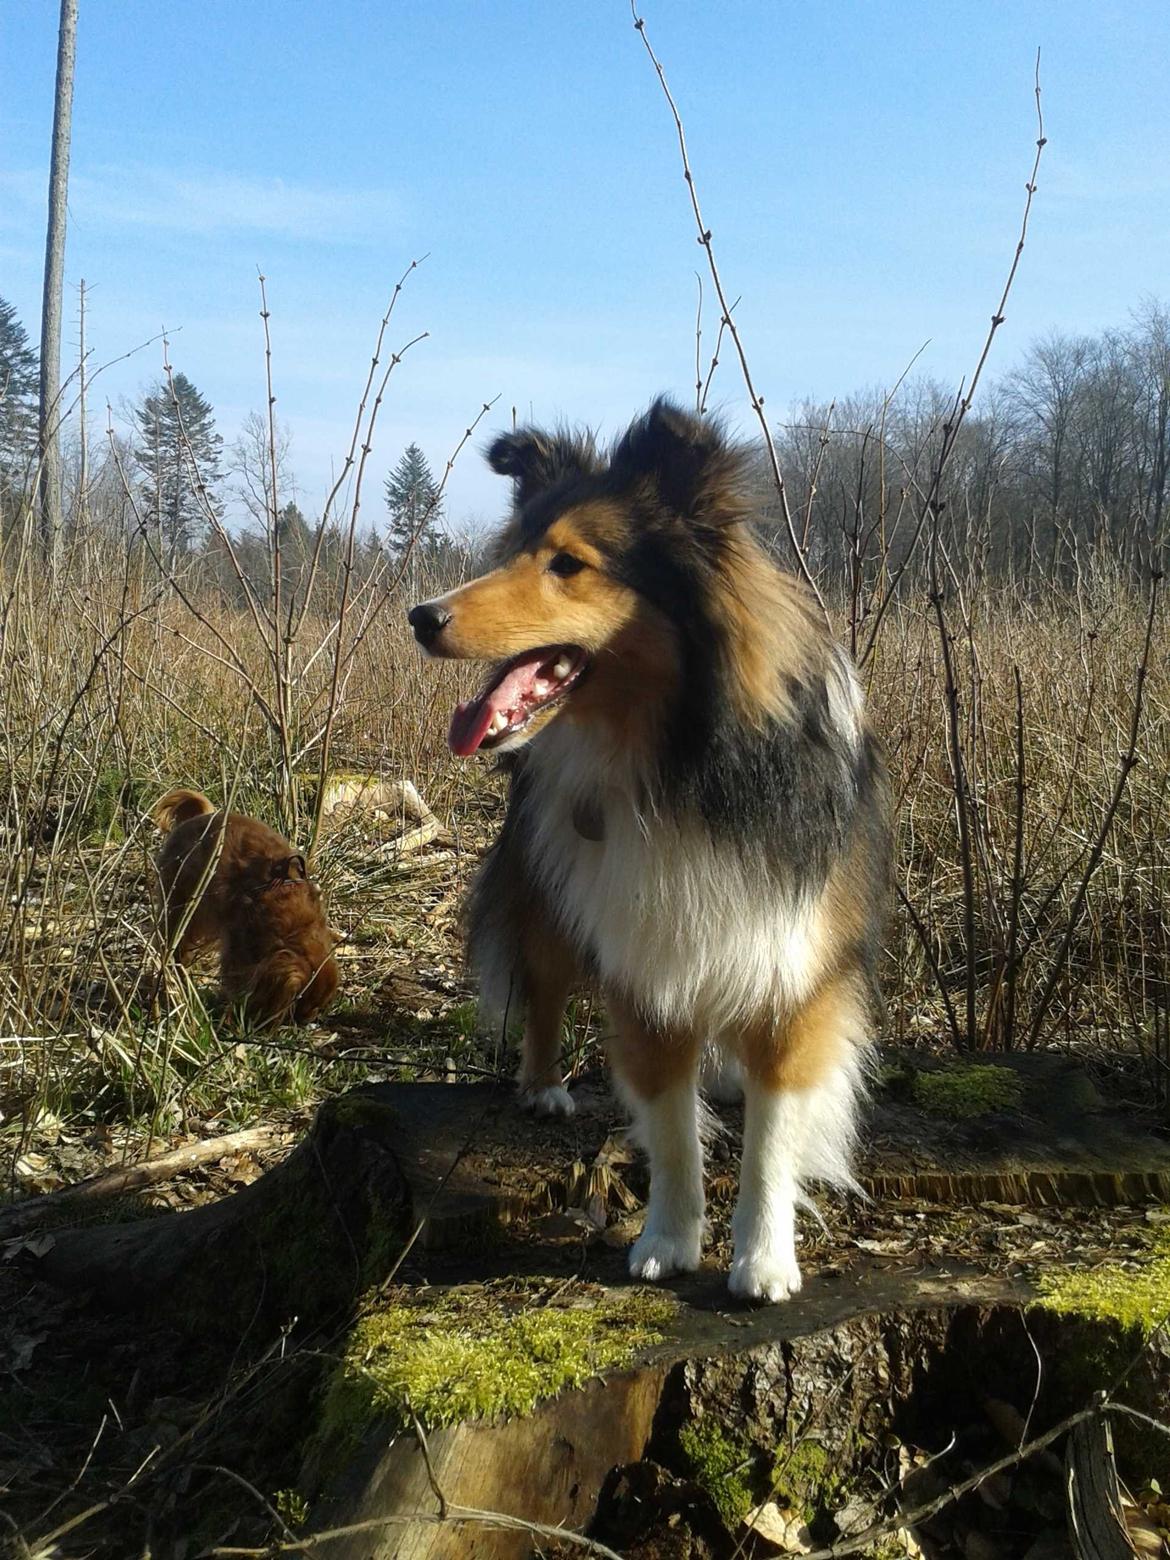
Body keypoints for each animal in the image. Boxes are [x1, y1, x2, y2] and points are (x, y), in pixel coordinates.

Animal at [151, 792, 338, 1023]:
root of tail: (200, 817)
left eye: (320, 1007)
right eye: (302, 1004)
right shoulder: (238, 946)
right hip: (180, 909)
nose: (307, 1022)